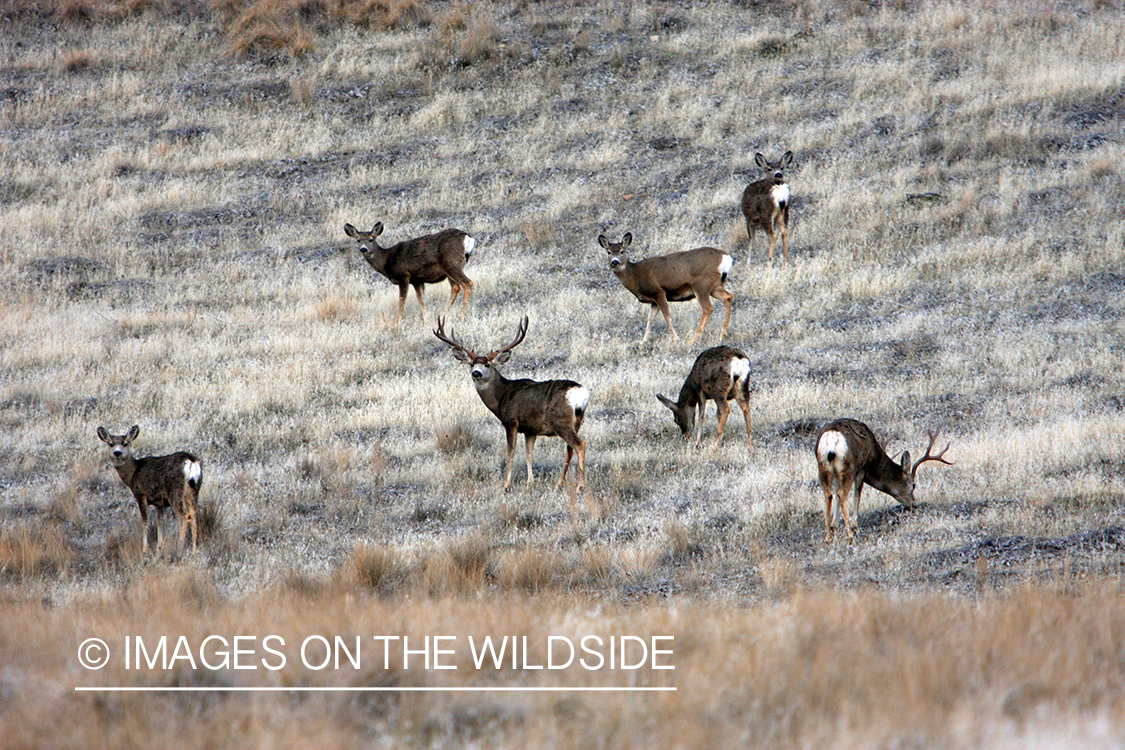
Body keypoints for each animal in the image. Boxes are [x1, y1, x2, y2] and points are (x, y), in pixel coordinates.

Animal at [96, 425, 203, 555]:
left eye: (125, 443)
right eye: (111, 443)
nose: (117, 452)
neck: (133, 473)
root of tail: (191, 462)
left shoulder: (141, 494)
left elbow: (145, 522)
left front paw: (145, 549)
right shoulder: (159, 502)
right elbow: (160, 522)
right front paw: (160, 546)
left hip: (174, 490)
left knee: (184, 517)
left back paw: (179, 547)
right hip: (194, 491)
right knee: (194, 515)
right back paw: (194, 550)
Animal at [343, 221, 475, 325]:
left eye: (371, 239)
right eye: (358, 240)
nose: (363, 249)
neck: (387, 261)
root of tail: (468, 238)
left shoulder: (403, 275)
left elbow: (402, 299)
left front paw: (398, 321)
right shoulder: (417, 279)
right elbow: (421, 299)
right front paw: (426, 320)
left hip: (451, 263)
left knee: (468, 283)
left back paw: (460, 316)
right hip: (451, 269)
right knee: (456, 288)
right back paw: (442, 315)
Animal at [433, 316, 588, 494]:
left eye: (488, 364)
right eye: (472, 364)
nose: (476, 373)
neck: (502, 397)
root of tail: (581, 392)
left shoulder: (511, 421)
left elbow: (511, 453)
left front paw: (506, 485)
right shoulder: (530, 429)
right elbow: (529, 453)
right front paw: (529, 483)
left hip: (560, 420)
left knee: (580, 445)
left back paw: (580, 486)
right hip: (576, 421)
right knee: (570, 449)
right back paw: (559, 484)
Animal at [599, 232, 734, 344]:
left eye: (622, 251)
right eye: (609, 252)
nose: (614, 262)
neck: (636, 276)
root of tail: (726, 258)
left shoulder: (658, 291)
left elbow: (666, 315)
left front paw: (676, 338)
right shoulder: (653, 300)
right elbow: (650, 319)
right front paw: (643, 341)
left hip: (701, 284)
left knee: (708, 308)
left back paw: (692, 340)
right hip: (715, 286)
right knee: (728, 297)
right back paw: (722, 334)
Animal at [815, 419, 953, 544]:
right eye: (913, 485)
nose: (914, 504)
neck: (874, 457)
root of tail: (832, 438)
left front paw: (834, 526)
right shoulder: (862, 469)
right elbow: (856, 495)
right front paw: (854, 527)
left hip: (823, 467)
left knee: (829, 494)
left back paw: (828, 538)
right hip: (848, 466)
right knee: (842, 494)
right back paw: (850, 537)